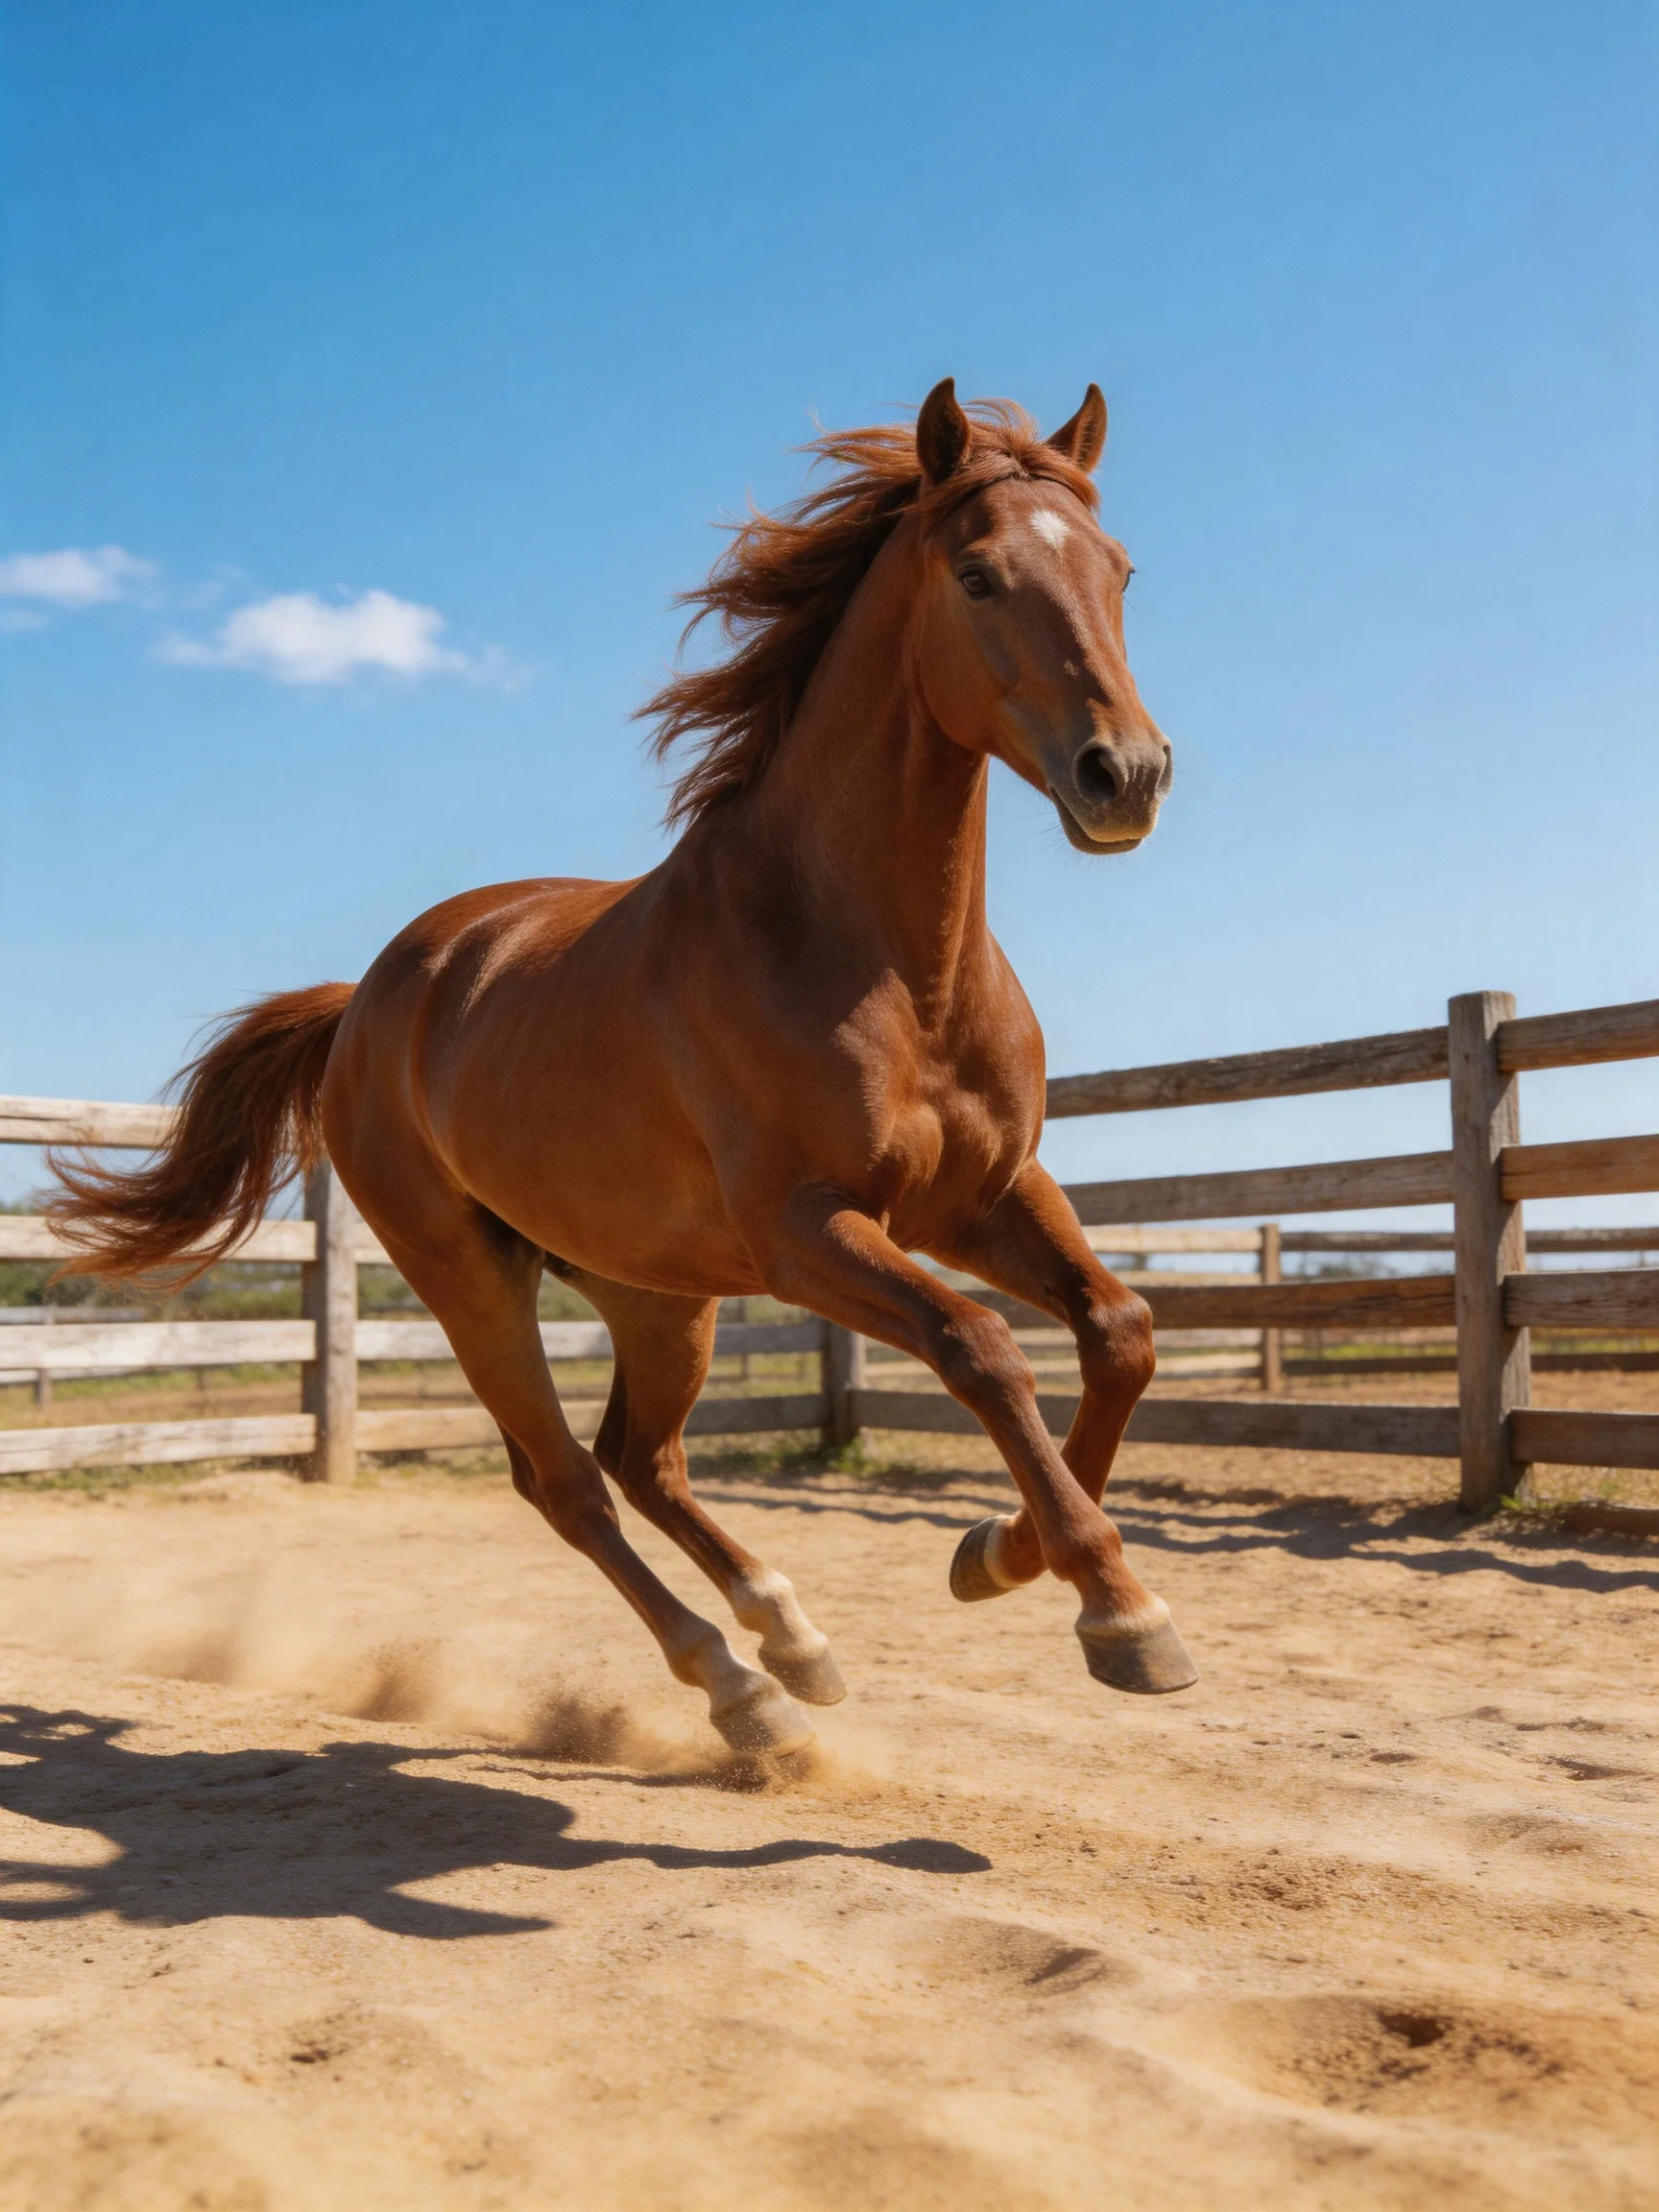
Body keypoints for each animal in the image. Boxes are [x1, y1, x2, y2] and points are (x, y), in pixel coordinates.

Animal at [49, 378, 1196, 1758]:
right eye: (977, 574)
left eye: (1121, 570)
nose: (1126, 776)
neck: (879, 964)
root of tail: (364, 1006)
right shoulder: (811, 1232)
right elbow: (982, 1347)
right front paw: (1120, 1613)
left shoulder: (987, 1196)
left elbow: (1120, 1332)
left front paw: (1000, 1553)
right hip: (473, 1278)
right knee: (566, 1482)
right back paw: (744, 1694)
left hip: (656, 1288)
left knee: (642, 1459)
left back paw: (791, 1640)